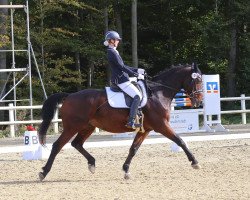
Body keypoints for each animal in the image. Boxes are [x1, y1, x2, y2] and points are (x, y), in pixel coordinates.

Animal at [38, 63, 203, 181]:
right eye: (197, 80)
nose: (199, 101)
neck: (158, 93)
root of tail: (70, 96)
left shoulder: (145, 129)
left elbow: (133, 149)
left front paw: (126, 170)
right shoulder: (161, 125)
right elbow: (180, 140)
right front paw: (195, 162)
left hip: (87, 127)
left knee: (76, 143)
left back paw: (92, 163)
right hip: (72, 127)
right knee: (57, 146)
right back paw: (44, 172)